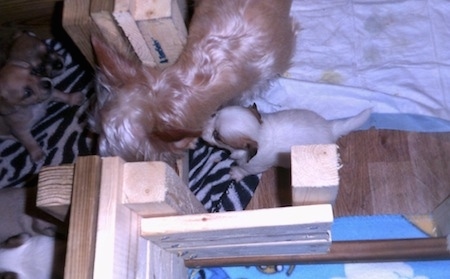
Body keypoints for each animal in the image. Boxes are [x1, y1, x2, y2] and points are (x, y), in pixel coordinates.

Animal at [0, 32, 83, 163]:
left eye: (33, 72)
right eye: (27, 93)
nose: (47, 84)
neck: (34, 106)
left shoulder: (50, 93)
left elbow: (62, 95)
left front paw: (74, 98)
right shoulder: (20, 131)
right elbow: (29, 141)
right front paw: (37, 154)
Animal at [202, 105, 370, 182]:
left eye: (217, 136)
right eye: (214, 114)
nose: (201, 129)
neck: (259, 133)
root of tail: (330, 128)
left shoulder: (255, 165)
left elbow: (245, 169)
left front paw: (235, 172)